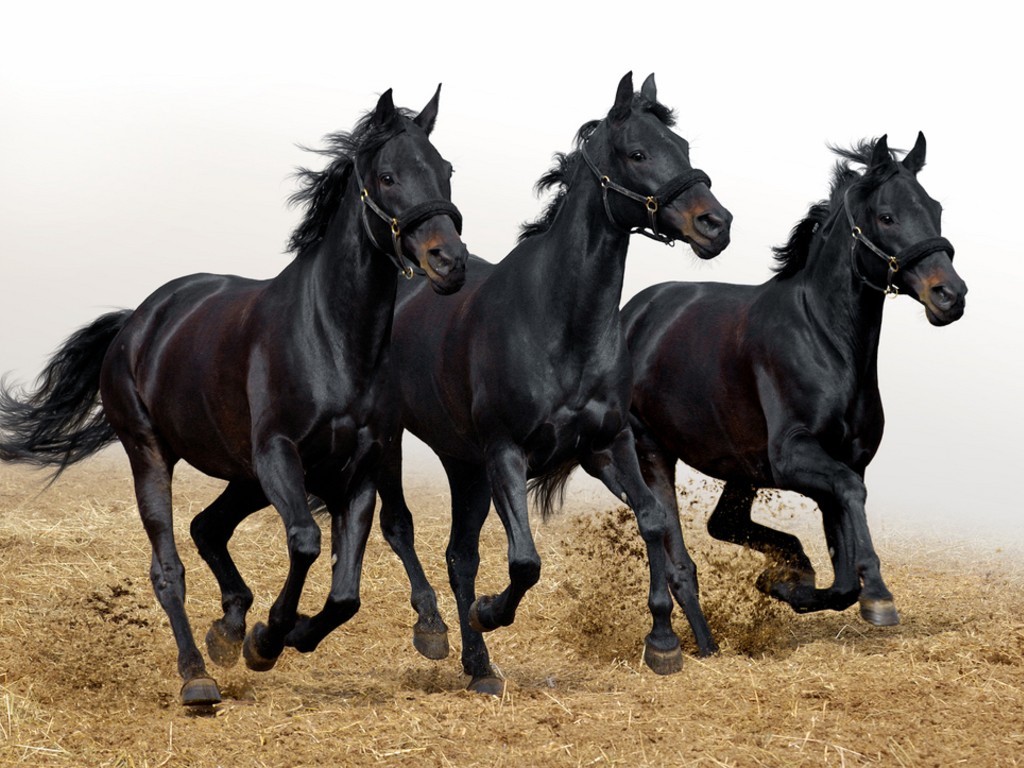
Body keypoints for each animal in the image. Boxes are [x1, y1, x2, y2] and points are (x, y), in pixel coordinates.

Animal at [0, 86, 469, 706]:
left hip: (243, 475)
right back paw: (198, 675)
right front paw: (268, 638)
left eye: (446, 170)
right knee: (168, 567)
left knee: (207, 527)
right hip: (153, 455)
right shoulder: (278, 454)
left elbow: (347, 590)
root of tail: (137, 322)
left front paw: (285, 634)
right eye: (388, 176)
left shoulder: (361, 466)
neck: (332, 338)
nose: (450, 262)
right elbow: (306, 541)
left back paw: (227, 629)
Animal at [375, 72, 732, 693]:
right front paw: (491, 612)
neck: (559, 323)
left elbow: (654, 520)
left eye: (683, 147)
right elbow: (524, 561)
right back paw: (436, 631)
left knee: (459, 557)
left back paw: (479, 668)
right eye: (638, 153)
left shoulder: (608, 444)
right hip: (397, 440)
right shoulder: (506, 454)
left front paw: (663, 641)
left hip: (464, 464)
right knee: (401, 529)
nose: (716, 224)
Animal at [622, 133, 966, 653]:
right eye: (887, 216)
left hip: (740, 466)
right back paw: (700, 646)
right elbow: (851, 504)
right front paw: (878, 596)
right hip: (653, 450)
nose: (950, 295)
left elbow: (843, 575)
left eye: (936, 209)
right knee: (679, 559)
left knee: (723, 523)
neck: (825, 341)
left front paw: (788, 585)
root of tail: (630, 315)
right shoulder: (794, 457)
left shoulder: (842, 462)